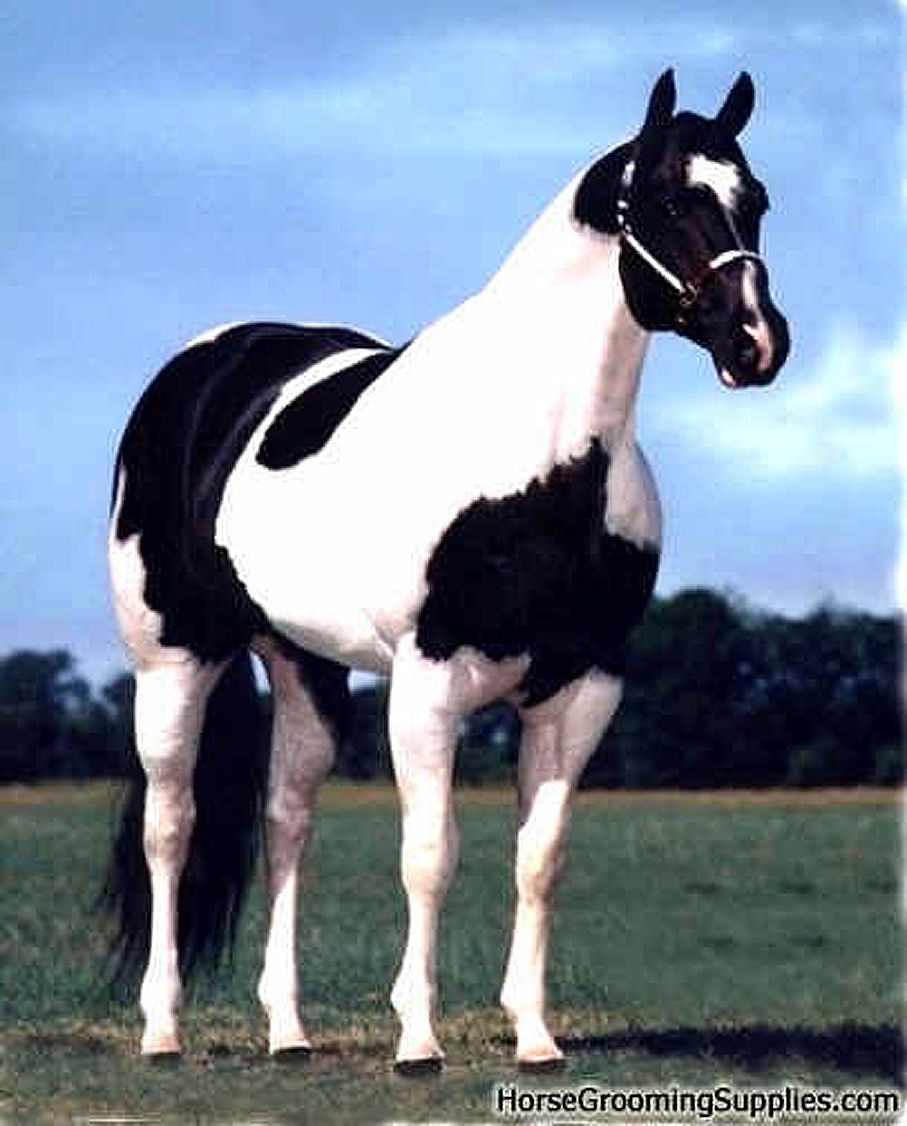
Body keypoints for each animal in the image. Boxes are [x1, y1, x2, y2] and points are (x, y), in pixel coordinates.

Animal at [103, 69, 789, 1073]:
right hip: (172, 659)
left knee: (286, 820)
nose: (756, 343)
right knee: (171, 824)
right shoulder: (429, 682)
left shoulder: (582, 684)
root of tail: (209, 366)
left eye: (756, 201)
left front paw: (535, 1037)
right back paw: (161, 1028)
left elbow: (538, 859)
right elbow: (428, 855)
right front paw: (418, 1040)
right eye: (668, 200)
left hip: (305, 665)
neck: (540, 455)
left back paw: (288, 1031)